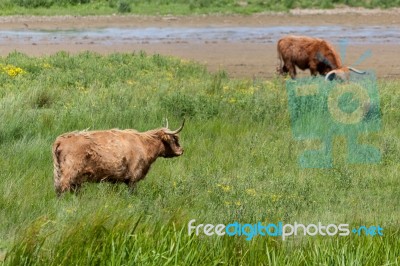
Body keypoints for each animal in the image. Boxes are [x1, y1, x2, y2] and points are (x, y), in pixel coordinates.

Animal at [50, 120, 185, 195]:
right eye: (175, 138)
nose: (182, 150)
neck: (144, 144)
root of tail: (61, 139)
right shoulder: (133, 177)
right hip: (70, 171)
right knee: (63, 187)